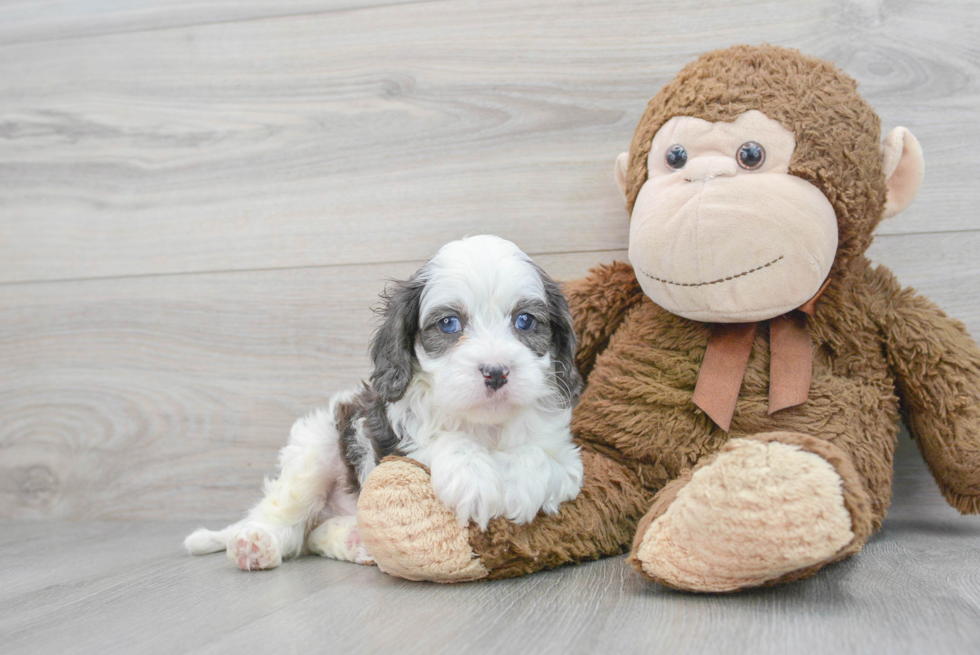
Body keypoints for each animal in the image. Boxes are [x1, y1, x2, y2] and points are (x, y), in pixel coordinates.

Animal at [184, 234, 580, 568]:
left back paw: (355, 540)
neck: (485, 423)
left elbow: (540, 456)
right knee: (286, 519)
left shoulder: (568, 461)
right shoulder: (393, 435)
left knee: (314, 536)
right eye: (449, 324)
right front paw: (474, 478)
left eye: (525, 321)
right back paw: (256, 543)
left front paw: (520, 486)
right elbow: (442, 440)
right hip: (317, 449)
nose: (496, 373)